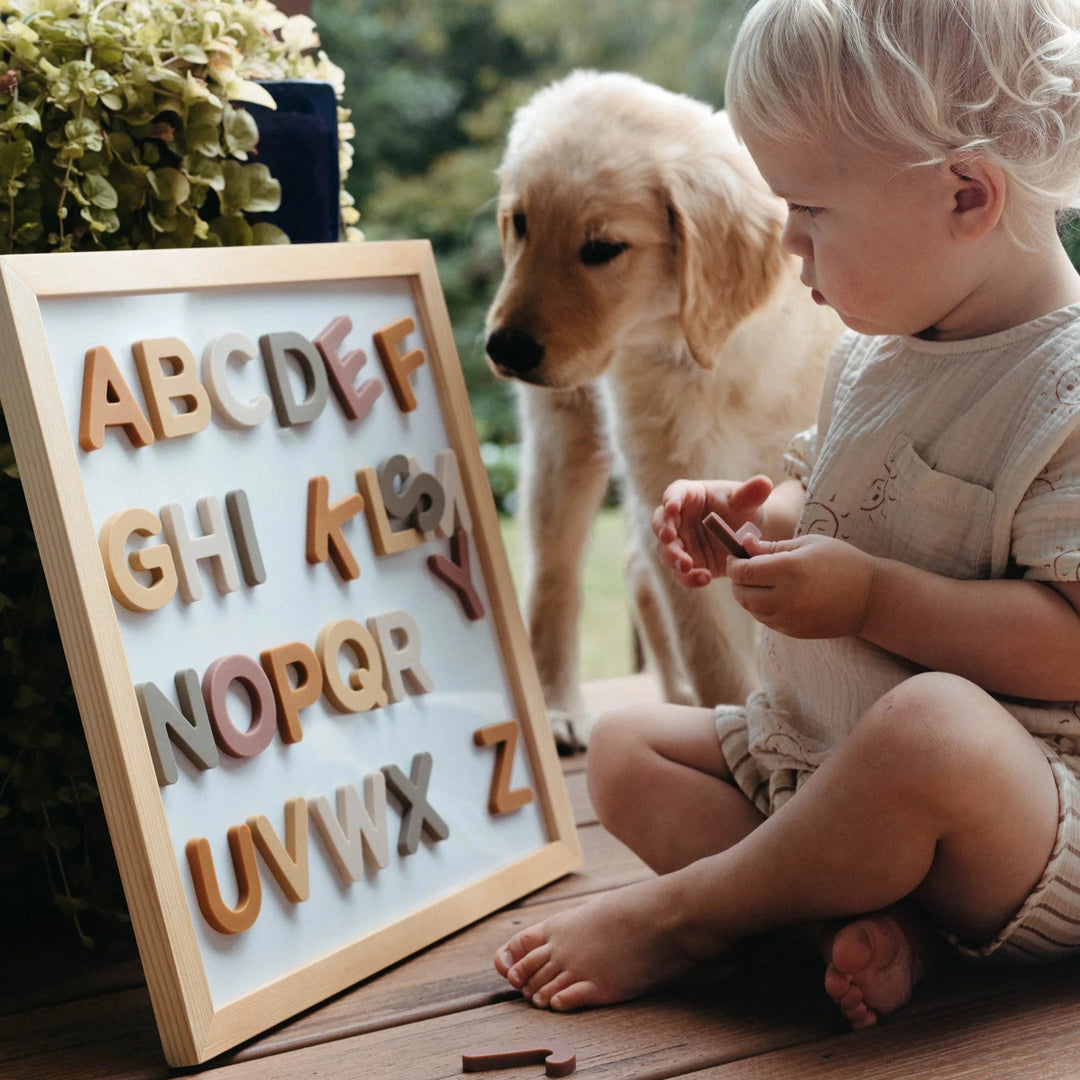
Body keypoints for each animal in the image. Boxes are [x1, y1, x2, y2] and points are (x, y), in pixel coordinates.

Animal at [483, 71, 842, 751]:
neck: (715, 358)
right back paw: (562, 706)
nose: (504, 349)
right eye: (519, 223)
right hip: (562, 429)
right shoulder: (664, 464)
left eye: (603, 247)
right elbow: (714, 646)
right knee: (555, 574)